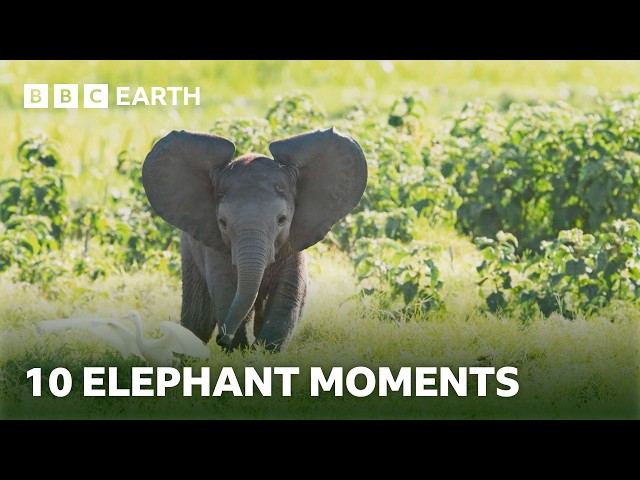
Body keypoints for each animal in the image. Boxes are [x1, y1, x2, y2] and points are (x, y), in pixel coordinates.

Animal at [141, 128, 367, 351]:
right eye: (222, 222)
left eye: (282, 220)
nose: (222, 338)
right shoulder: (215, 247)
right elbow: (226, 293)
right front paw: (240, 349)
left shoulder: (292, 246)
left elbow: (288, 297)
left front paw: (264, 351)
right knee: (198, 317)